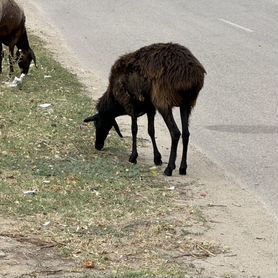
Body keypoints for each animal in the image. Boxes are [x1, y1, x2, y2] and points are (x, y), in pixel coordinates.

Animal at [84, 42, 206, 175]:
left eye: (97, 124)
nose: (97, 146)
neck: (114, 100)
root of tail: (190, 73)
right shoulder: (150, 108)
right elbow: (151, 130)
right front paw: (157, 158)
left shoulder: (131, 104)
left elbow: (134, 129)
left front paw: (133, 157)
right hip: (186, 104)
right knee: (186, 134)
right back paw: (182, 168)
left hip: (163, 101)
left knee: (175, 133)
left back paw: (169, 168)